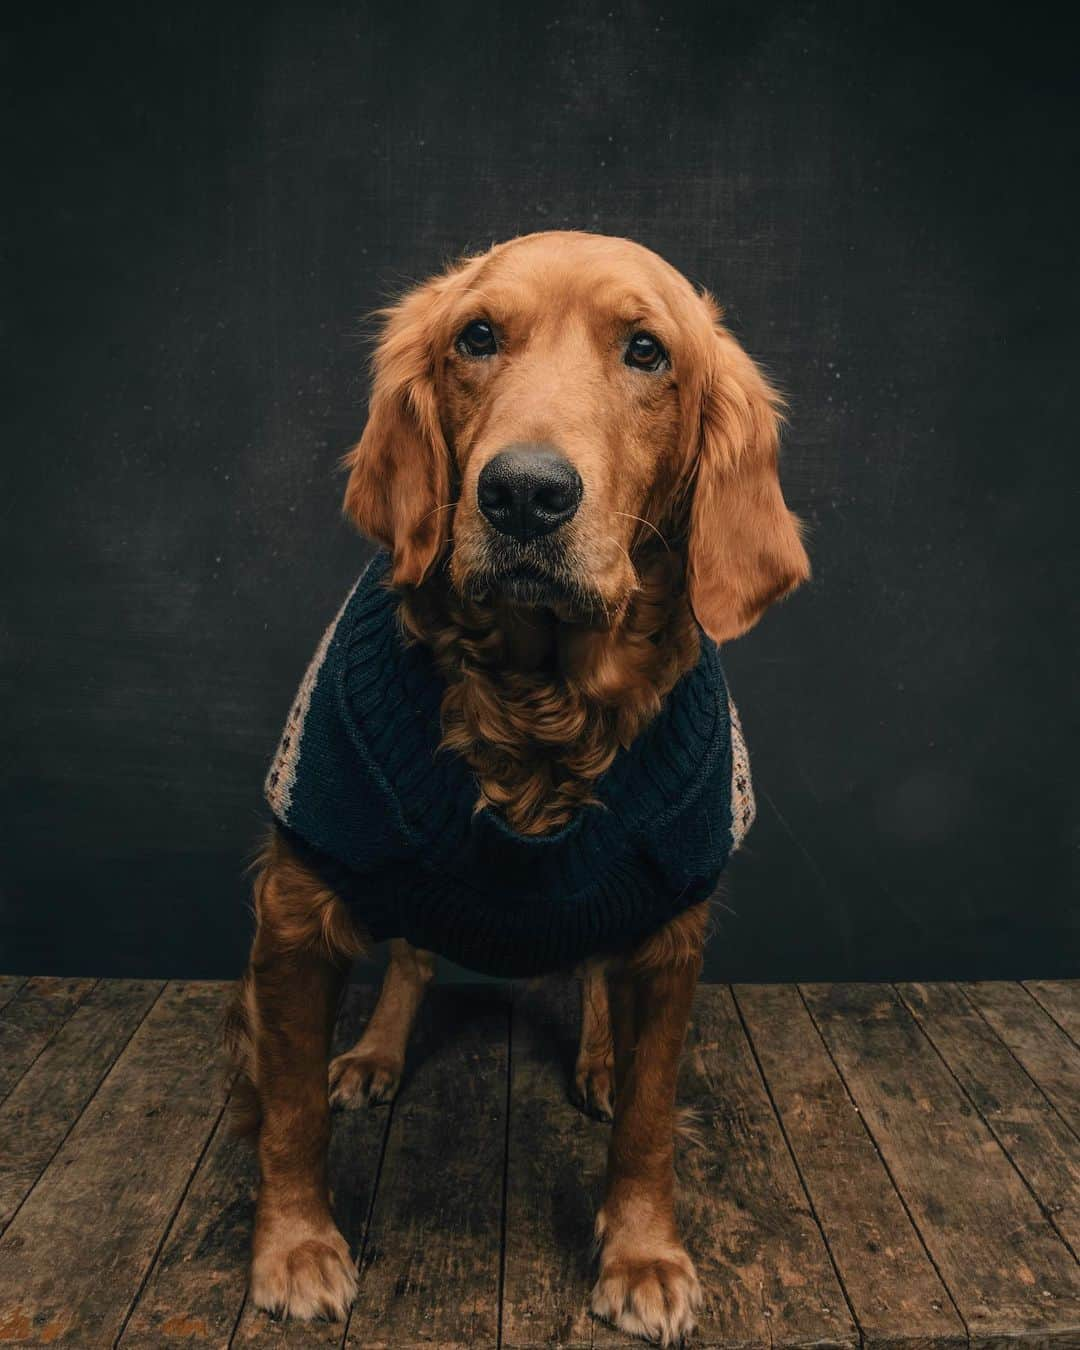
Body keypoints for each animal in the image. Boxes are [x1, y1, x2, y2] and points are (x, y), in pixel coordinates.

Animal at [224, 226, 804, 1344]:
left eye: (647, 352)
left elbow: (651, 1121)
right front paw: (295, 1246)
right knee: (411, 955)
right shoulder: (296, 907)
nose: (525, 493)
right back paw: (374, 1054)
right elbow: (289, 1111)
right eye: (477, 338)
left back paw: (599, 1062)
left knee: (590, 978)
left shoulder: (672, 929)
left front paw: (643, 1254)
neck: (537, 712)